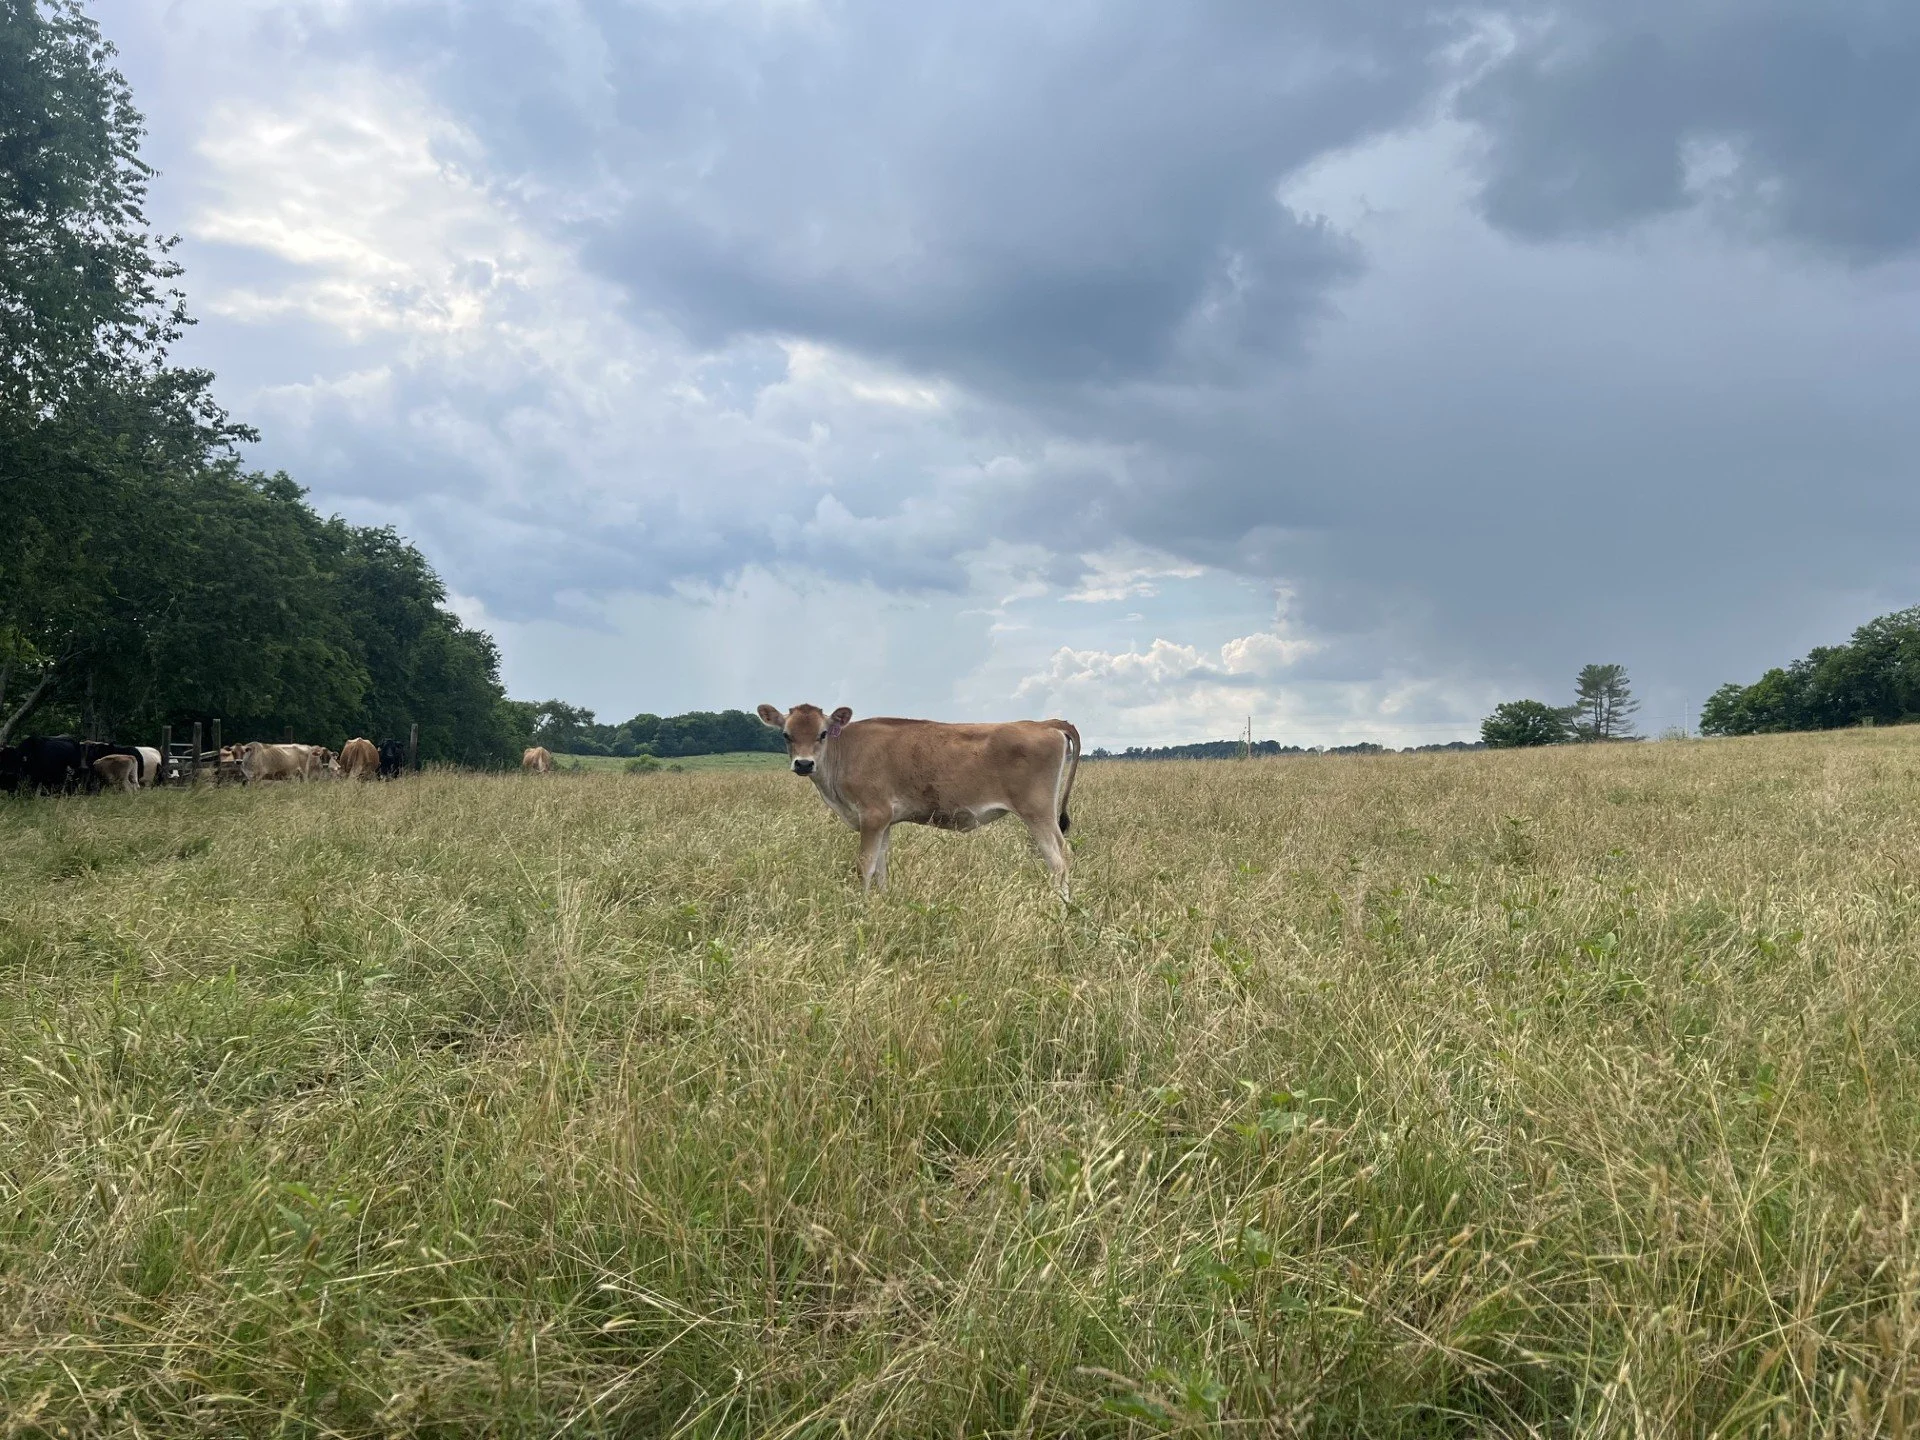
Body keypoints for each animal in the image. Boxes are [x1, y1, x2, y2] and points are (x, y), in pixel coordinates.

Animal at [757, 703, 1081, 897]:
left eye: (823, 733)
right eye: (786, 735)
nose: (803, 764)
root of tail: (1043, 723)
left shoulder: (872, 815)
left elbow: (864, 865)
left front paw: (860, 907)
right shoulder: (884, 821)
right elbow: (880, 865)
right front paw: (882, 901)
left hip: (1037, 813)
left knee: (1059, 859)